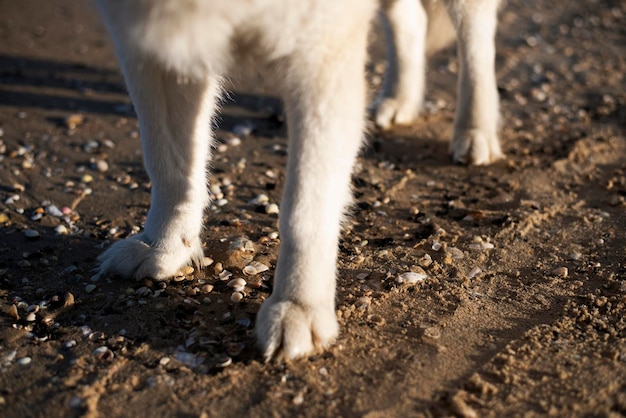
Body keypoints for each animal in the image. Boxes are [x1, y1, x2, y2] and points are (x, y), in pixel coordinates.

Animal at [94, 0, 502, 360]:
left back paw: (475, 129)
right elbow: (167, 160)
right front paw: (163, 246)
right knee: (411, 20)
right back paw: (400, 99)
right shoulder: (148, 39)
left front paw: (299, 305)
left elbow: (305, 207)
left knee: (477, 38)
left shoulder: (321, 53)